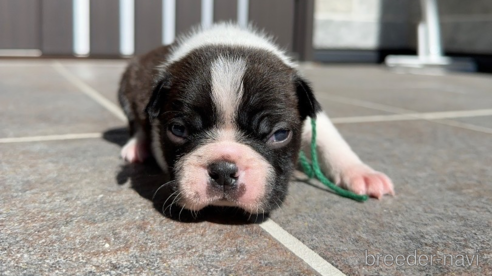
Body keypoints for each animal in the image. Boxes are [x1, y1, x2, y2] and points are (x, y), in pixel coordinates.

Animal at [117, 22, 394, 215]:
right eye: (178, 130)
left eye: (279, 134)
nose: (224, 170)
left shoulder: (314, 116)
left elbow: (332, 143)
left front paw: (362, 173)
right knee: (137, 124)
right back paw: (136, 147)